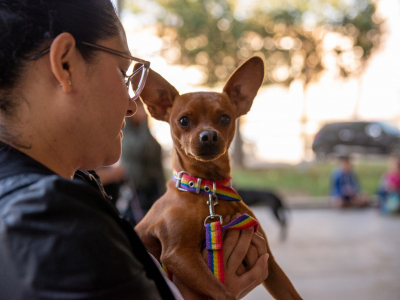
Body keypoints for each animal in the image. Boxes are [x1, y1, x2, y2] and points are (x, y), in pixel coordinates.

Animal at [133, 56, 302, 300]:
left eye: (225, 118)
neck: (209, 189)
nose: (209, 136)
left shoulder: (269, 261)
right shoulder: (178, 254)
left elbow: (290, 293)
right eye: (183, 121)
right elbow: (224, 293)